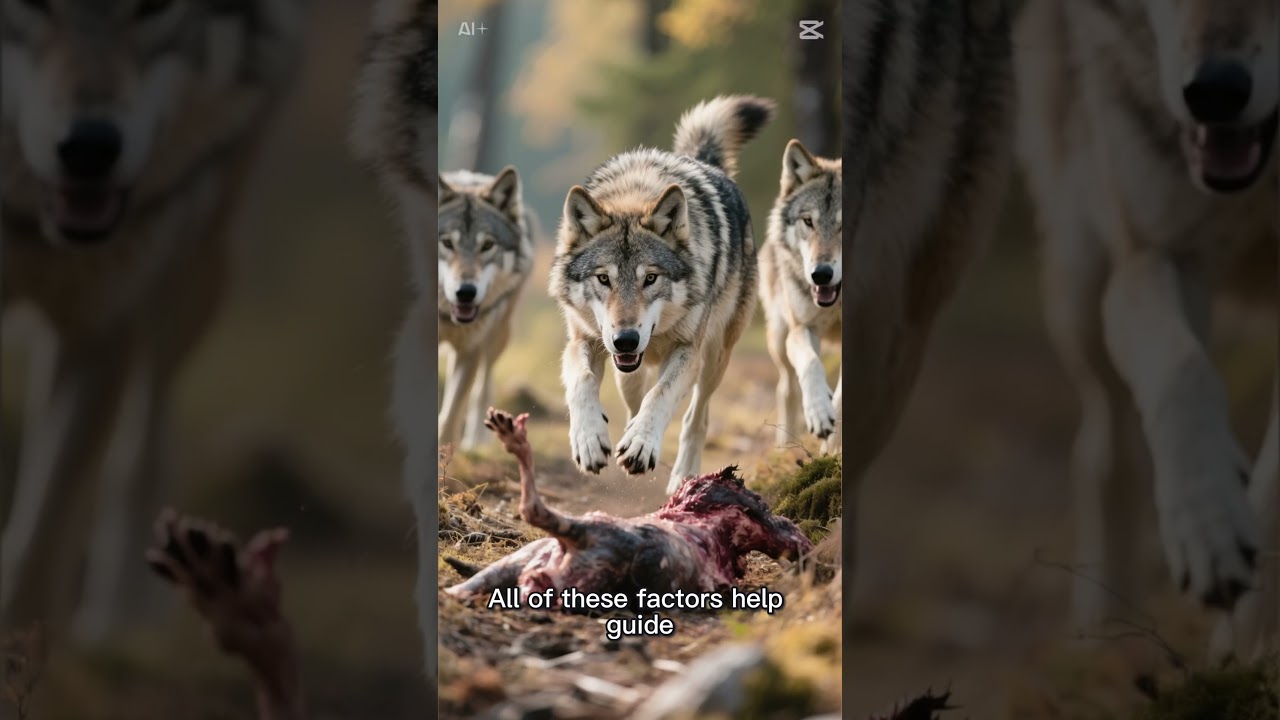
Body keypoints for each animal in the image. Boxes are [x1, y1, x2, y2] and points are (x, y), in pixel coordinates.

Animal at [0, 0, 304, 640]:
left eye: (154, 9)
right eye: (32, 6)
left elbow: (39, 544)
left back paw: (129, 613)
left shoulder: (100, 328)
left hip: (193, 268)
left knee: (145, 436)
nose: (89, 147)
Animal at [549, 95, 774, 494]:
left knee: (695, 418)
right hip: (627, 368)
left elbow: (662, 395)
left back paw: (683, 475)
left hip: (714, 357)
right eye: (603, 279)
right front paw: (590, 439)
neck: (635, 193)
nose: (625, 340)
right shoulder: (583, 340)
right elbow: (582, 382)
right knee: (633, 397)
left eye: (650, 278)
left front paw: (641, 445)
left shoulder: (687, 349)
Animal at [758, 140, 843, 453]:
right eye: (808, 221)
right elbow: (810, 364)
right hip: (780, 339)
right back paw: (786, 443)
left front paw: (832, 446)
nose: (821, 274)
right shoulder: (802, 329)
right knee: (786, 386)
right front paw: (818, 412)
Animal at [1015, 0, 1279, 655]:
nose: (1214, 92)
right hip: (1083, 287)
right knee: (1101, 448)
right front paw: (1206, 526)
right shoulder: (1153, 257)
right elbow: (1183, 372)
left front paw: (1240, 646)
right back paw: (1102, 632)